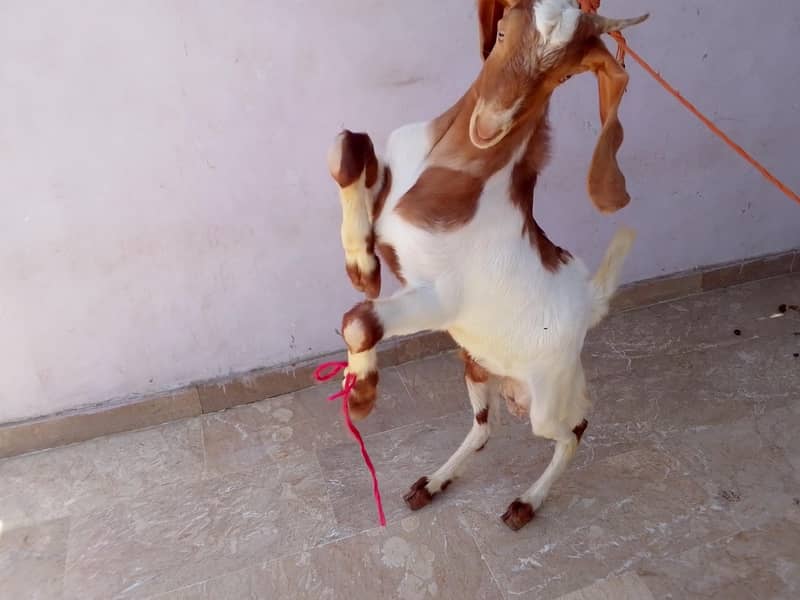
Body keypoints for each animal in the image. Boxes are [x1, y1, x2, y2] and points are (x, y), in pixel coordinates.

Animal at [326, 0, 647, 530]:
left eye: (565, 73)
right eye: (499, 33)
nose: (488, 126)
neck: (453, 173)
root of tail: (589, 299)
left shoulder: (441, 297)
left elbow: (360, 320)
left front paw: (362, 394)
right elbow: (347, 149)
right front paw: (361, 263)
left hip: (547, 397)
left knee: (574, 427)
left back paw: (526, 503)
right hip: (475, 365)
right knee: (484, 425)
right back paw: (434, 483)